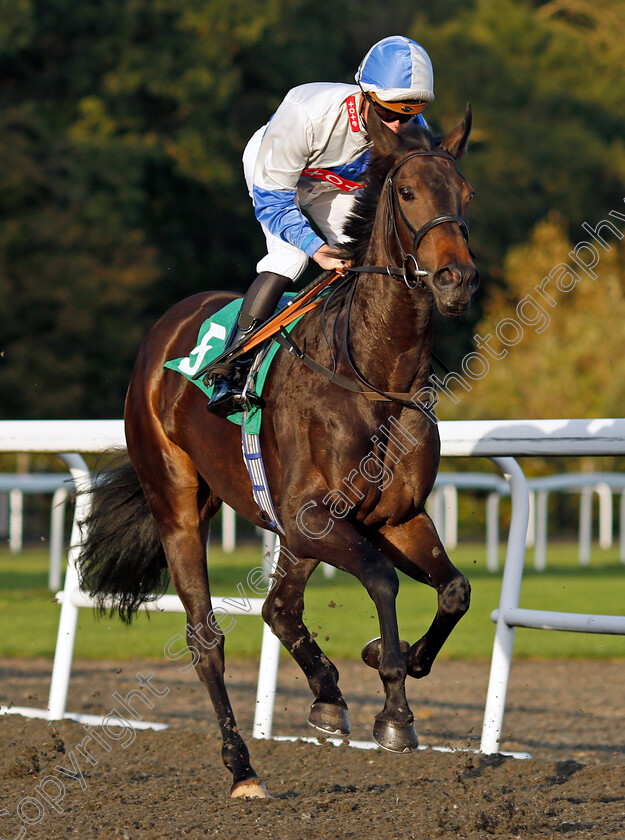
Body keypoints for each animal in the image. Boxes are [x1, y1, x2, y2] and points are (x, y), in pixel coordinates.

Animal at [78, 106, 478, 800]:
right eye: (406, 193)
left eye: (466, 194)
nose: (456, 279)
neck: (371, 373)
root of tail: (167, 330)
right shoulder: (310, 517)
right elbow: (380, 578)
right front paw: (394, 708)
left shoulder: (396, 516)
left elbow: (454, 590)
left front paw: (391, 661)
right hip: (178, 505)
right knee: (206, 636)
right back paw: (242, 767)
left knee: (279, 607)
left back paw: (326, 695)